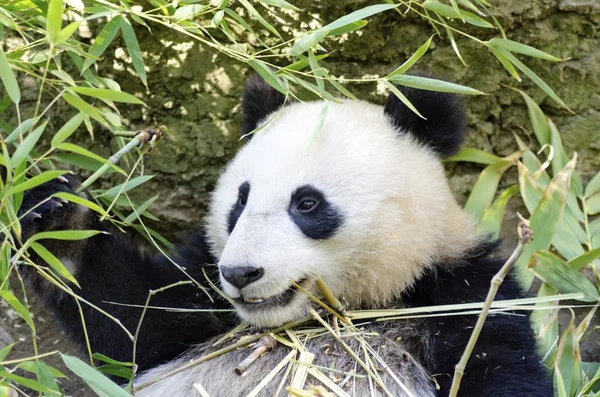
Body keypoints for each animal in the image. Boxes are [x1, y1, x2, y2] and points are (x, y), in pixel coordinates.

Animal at [17, 75, 552, 396]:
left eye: (307, 203)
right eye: (240, 200)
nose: (240, 273)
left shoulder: (460, 296)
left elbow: (500, 370)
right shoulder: (203, 291)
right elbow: (135, 320)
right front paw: (59, 219)